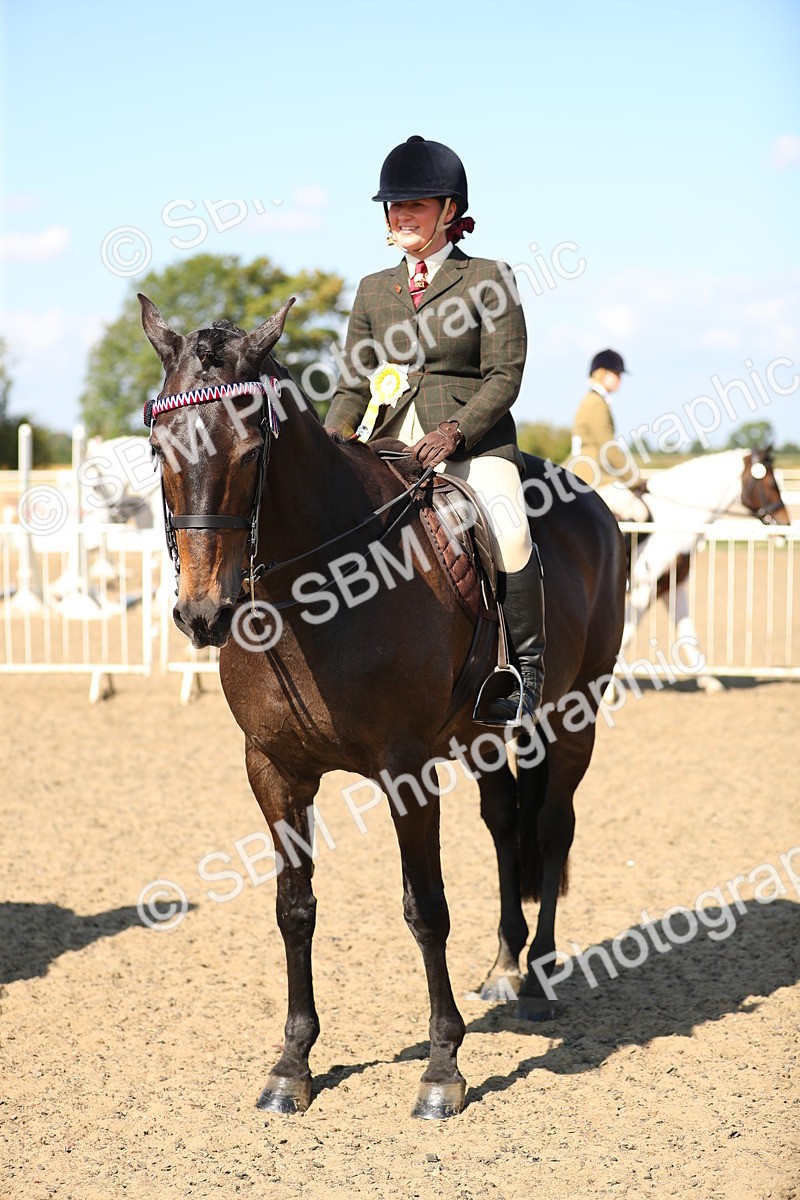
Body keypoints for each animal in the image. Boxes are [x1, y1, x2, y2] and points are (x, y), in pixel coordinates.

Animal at [138, 293, 626, 1120]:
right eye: (159, 447)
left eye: (250, 450)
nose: (204, 614)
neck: (319, 588)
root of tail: (592, 503)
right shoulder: (273, 771)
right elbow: (294, 908)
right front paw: (292, 1065)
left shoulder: (406, 771)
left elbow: (425, 908)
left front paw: (442, 1069)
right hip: (486, 737)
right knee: (506, 826)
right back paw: (505, 966)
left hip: (573, 713)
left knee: (553, 827)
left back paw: (540, 977)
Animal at [616, 448, 790, 692]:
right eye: (771, 482)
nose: (785, 523)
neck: (673, 519)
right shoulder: (644, 590)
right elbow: (626, 636)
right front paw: (609, 691)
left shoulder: (672, 587)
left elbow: (688, 633)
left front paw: (710, 682)